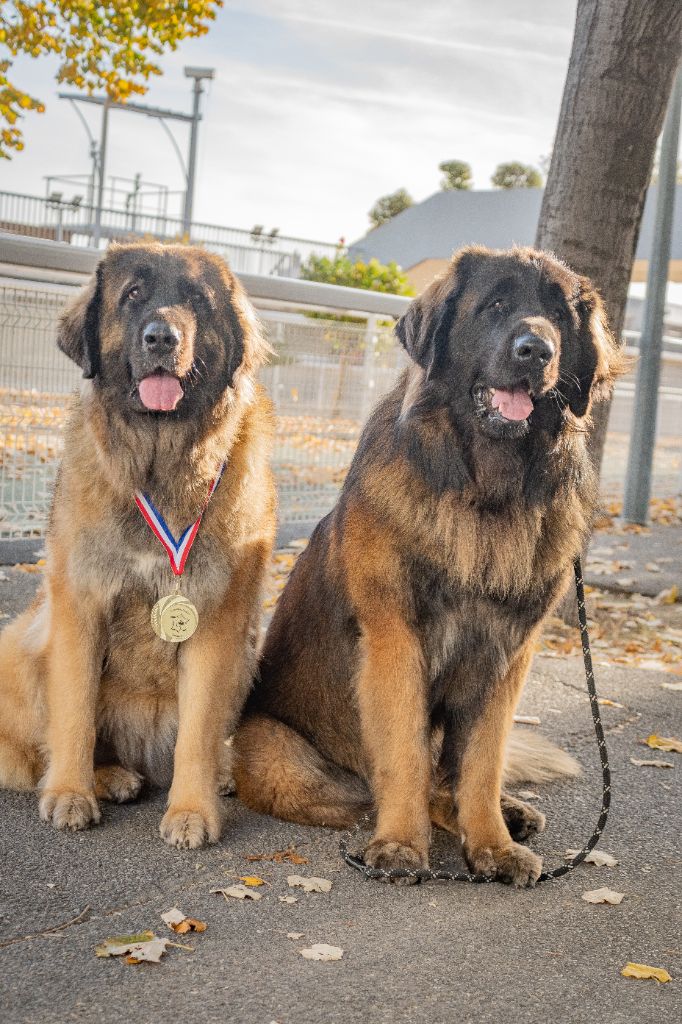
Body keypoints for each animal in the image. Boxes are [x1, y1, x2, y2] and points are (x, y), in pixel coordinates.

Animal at [0, 241, 274, 847]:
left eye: (197, 299)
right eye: (132, 295)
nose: (161, 338)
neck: (158, 462)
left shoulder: (216, 621)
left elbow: (198, 730)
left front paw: (191, 808)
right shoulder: (79, 606)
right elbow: (74, 712)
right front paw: (71, 792)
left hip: (247, 652)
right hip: (28, 645)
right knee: (34, 750)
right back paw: (106, 777)